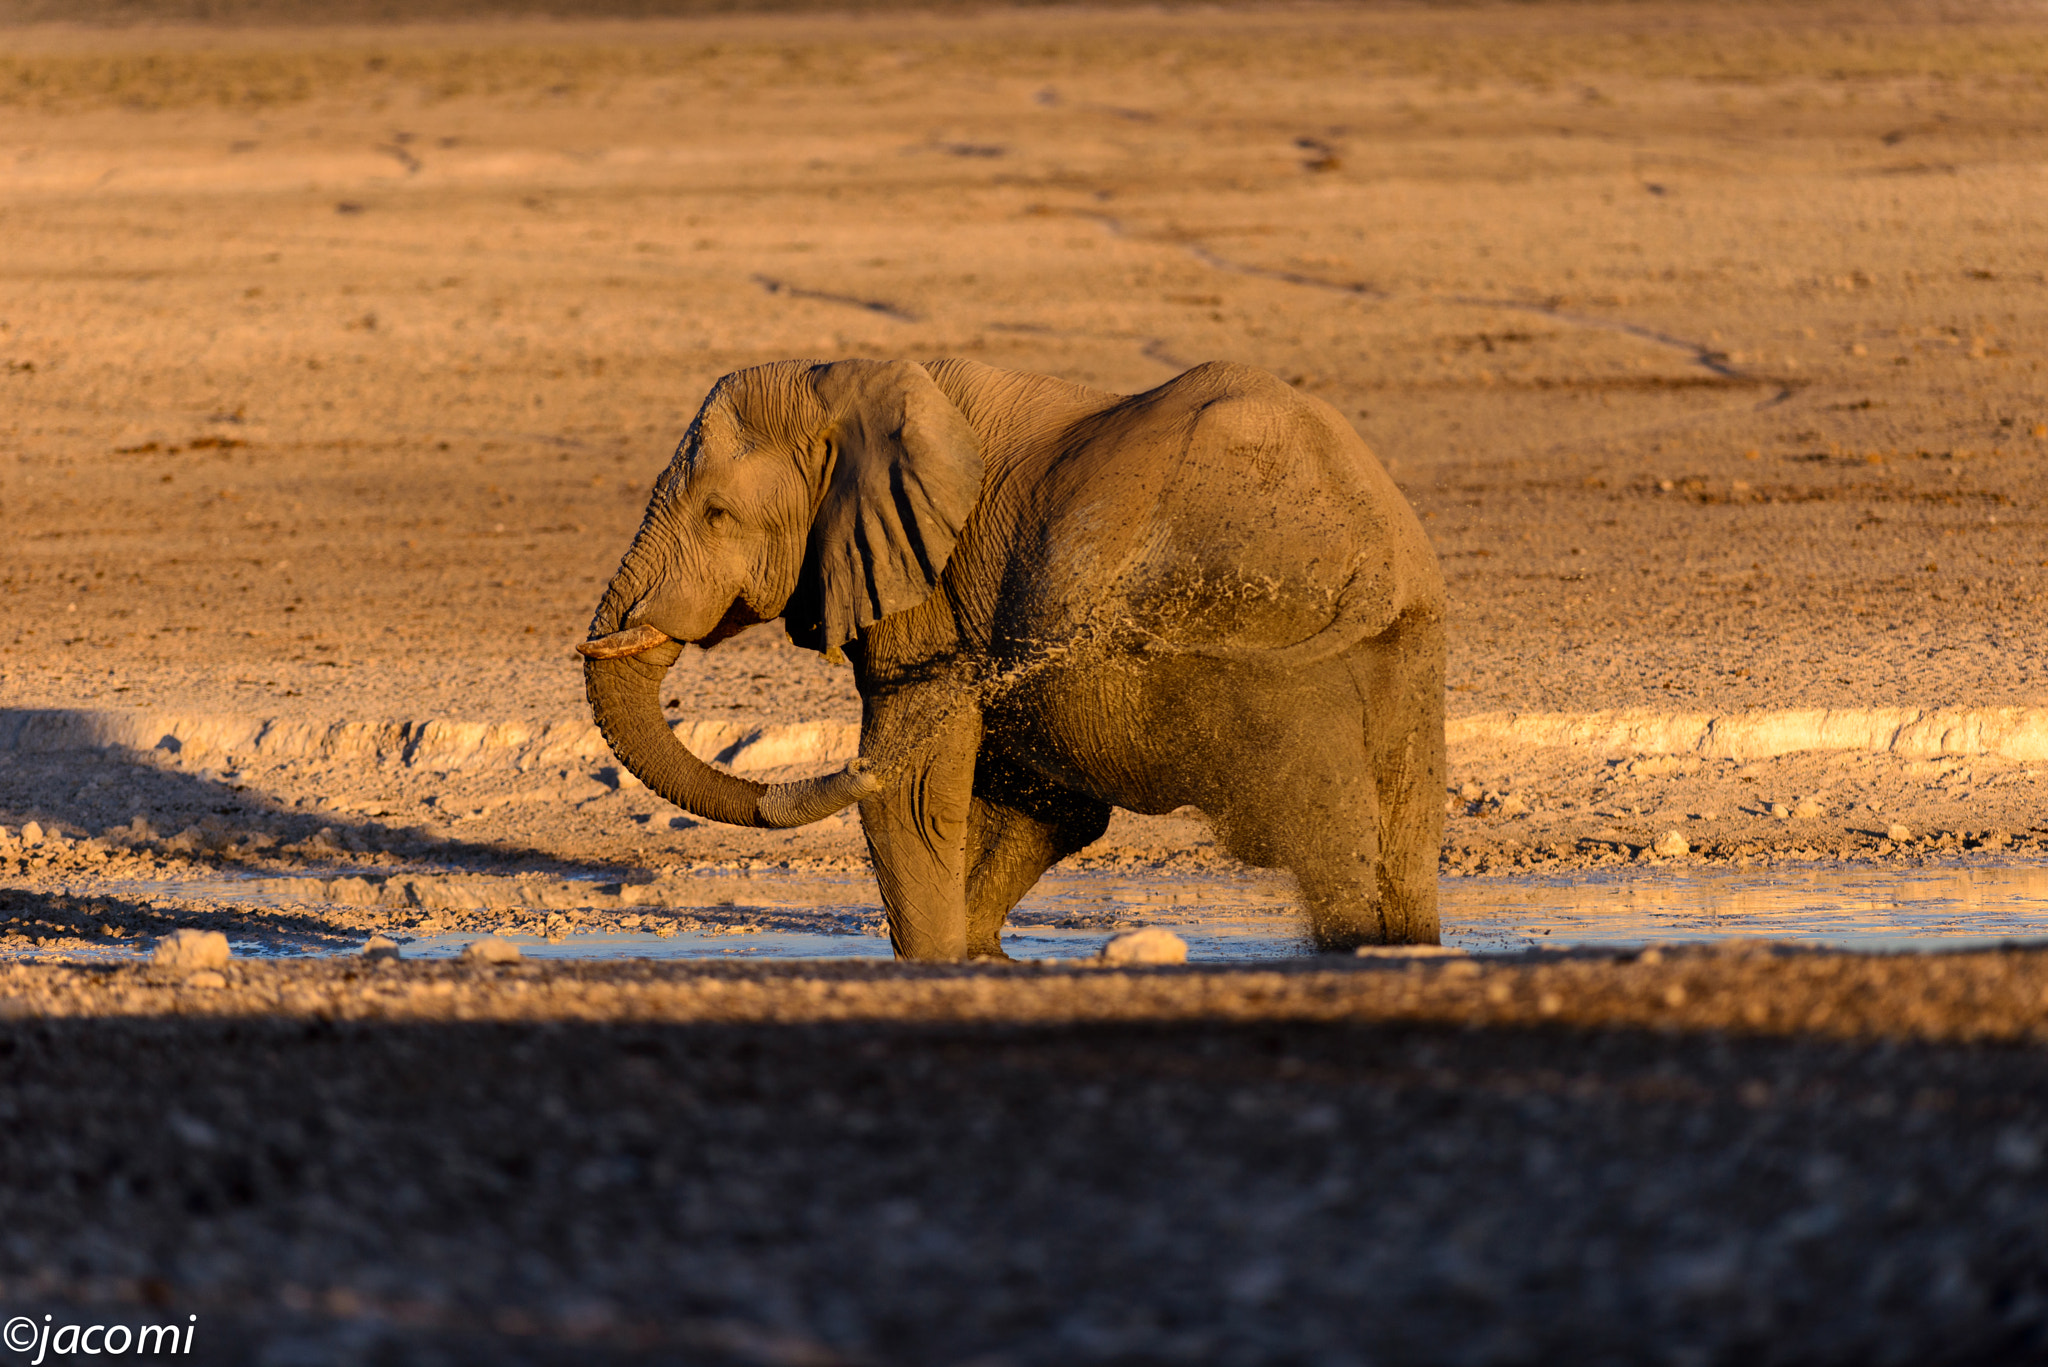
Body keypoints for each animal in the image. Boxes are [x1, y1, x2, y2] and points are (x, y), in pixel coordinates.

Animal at [577, 362, 1441, 963]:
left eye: (718, 514)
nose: (851, 763)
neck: (846, 381)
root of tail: (1375, 550)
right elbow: (1045, 806)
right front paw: (982, 955)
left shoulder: (930, 591)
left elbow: (913, 795)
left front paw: (939, 962)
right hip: (1404, 646)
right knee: (1405, 822)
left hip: (1254, 626)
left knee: (1323, 825)